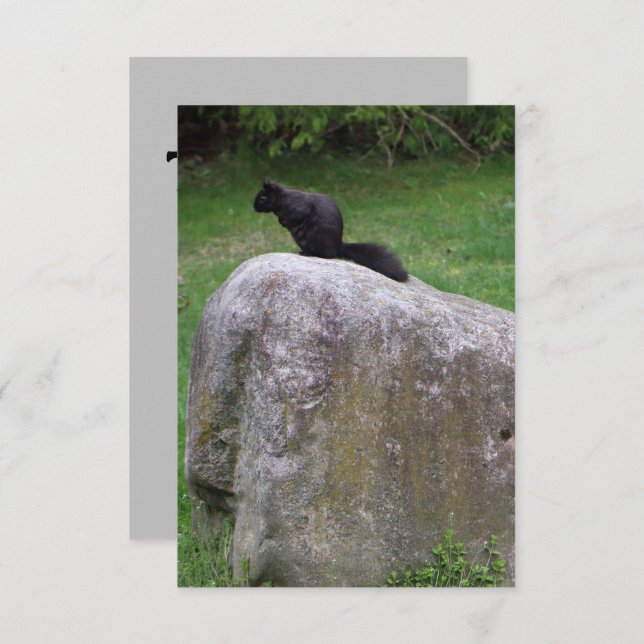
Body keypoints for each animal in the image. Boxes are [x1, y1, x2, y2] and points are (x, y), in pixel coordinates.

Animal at [253, 178, 408, 282]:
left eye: (262, 198)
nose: (253, 208)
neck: (282, 199)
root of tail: (337, 247)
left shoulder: (299, 207)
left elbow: (294, 216)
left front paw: (282, 221)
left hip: (319, 239)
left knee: (327, 255)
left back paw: (310, 254)